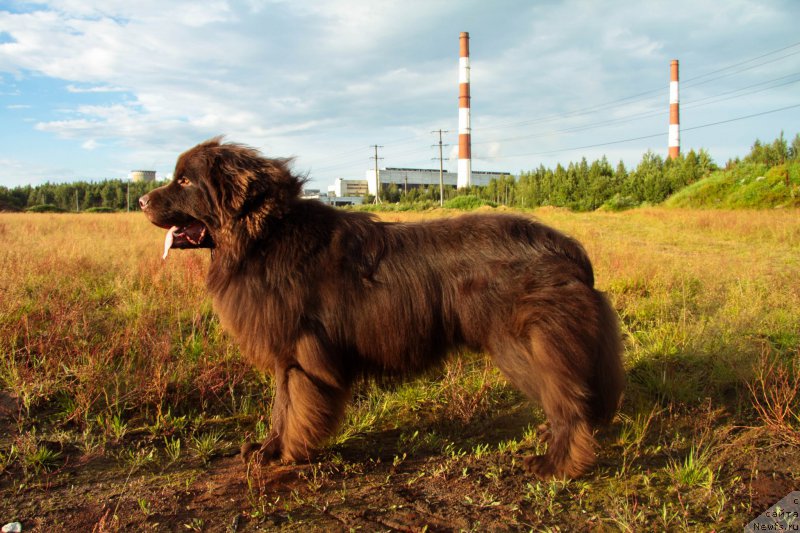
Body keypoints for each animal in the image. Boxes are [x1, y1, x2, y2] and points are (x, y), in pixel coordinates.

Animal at [139, 137, 624, 478]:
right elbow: (283, 407)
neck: (263, 237)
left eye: (185, 181)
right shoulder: (290, 355)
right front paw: (269, 450)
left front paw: (284, 453)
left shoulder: (297, 354)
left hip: (524, 343)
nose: (142, 200)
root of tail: (567, 249)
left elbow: (291, 407)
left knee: (568, 402)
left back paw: (556, 464)